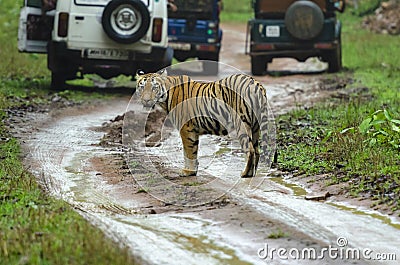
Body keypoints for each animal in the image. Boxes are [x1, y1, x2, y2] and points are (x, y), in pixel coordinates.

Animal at [135, 69, 276, 177]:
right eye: (142, 87)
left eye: (154, 87)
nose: (146, 100)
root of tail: (255, 83)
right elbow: (191, 151)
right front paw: (192, 170)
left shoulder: (186, 129)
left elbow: (189, 151)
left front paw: (188, 171)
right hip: (256, 126)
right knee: (257, 150)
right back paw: (252, 173)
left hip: (242, 123)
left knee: (250, 150)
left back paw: (245, 174)